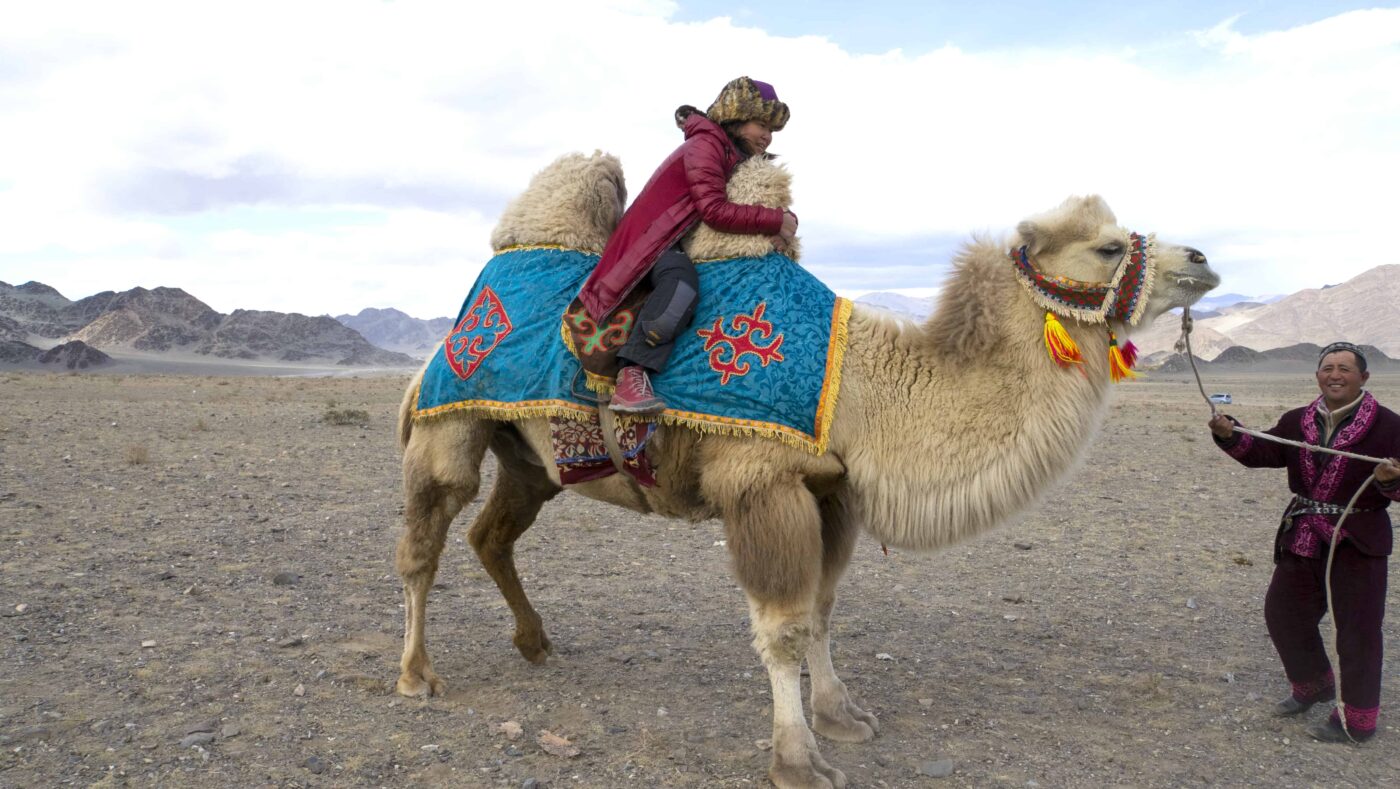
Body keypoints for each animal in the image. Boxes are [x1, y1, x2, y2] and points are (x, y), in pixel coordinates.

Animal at [392, 151, 1220, 789]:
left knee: (494, 533)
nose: (1203, 259)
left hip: (530, 457)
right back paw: (416, 673)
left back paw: (535, 642)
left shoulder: (832, 490)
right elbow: (784, 626)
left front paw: (841, 715)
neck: (861, 392)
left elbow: (822, 610)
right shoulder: (763, 483)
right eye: (1107, 247)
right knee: (425, 544)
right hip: (451, 419)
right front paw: (797, 758)